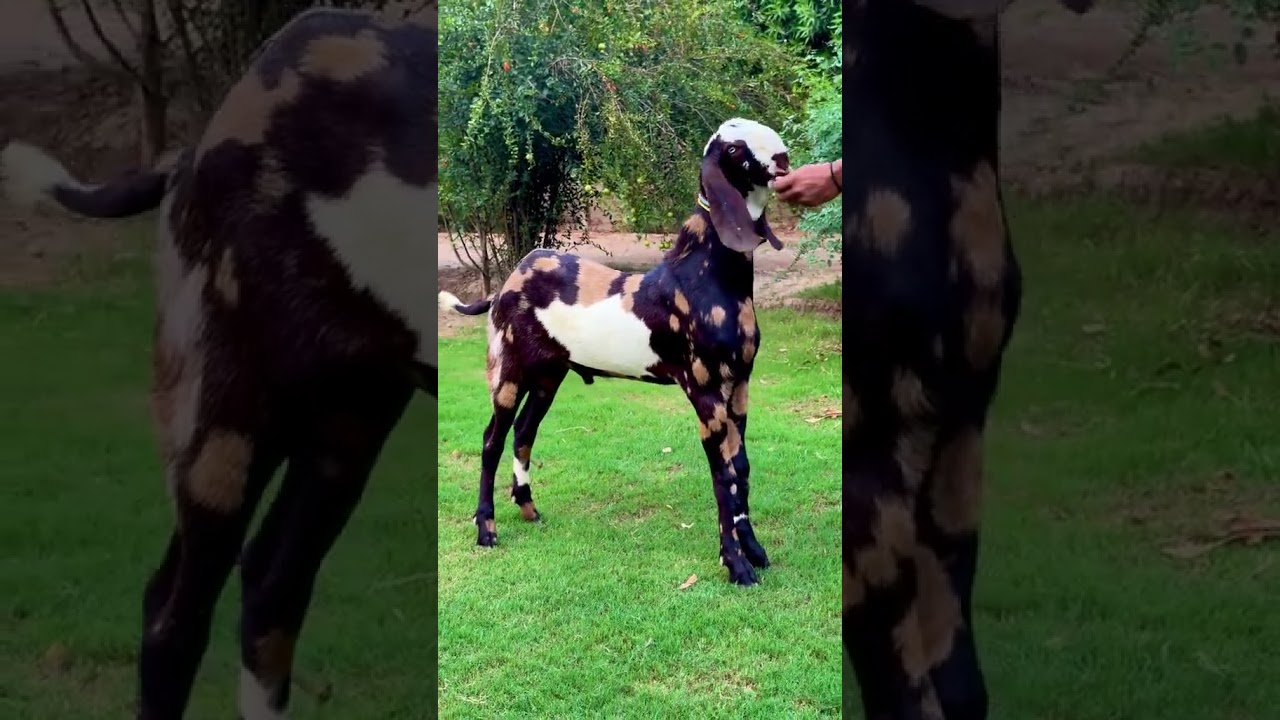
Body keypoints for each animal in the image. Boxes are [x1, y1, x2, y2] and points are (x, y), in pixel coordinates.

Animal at [439, 118, 789, 586]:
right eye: (734, 148)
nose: (783, 160)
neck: (706, 276)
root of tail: (505, 285)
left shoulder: (739, 384)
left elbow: (742, 469)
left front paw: (754, 551)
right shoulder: (703, 388)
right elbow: (723, 475)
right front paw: (735, 565)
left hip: (549, 375)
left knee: (524, 432)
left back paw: (528, 507)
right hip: (508, 370)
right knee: (492, 440)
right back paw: (486, 529)